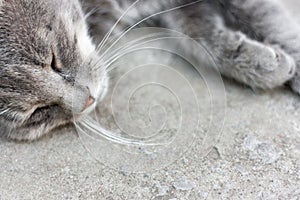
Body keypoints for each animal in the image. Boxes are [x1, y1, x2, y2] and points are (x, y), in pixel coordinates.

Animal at [0, 0, 300, 141]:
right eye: (35, 113)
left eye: (53, 60)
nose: (88, 100)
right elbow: (199, 36)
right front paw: (262, 63)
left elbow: (267, 18)